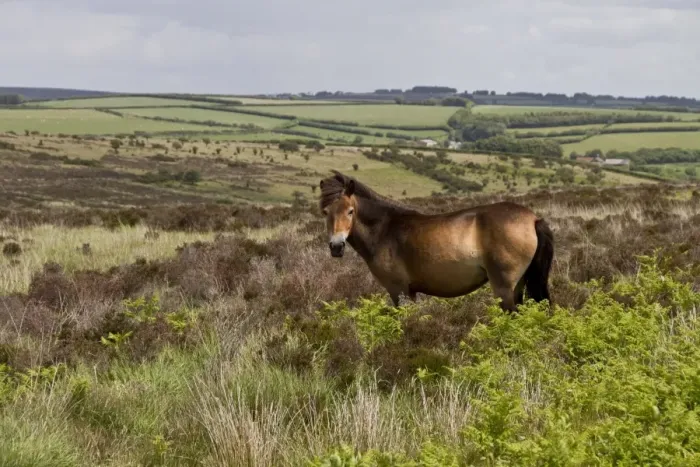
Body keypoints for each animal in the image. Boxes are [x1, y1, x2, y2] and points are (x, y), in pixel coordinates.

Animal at [318, 170, 554, 312]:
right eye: (325, 212)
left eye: (350, 211)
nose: (336, 246)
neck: (385, 229)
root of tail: (533, 219)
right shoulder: (410, 292)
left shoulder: (398, 290)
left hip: (505, 288)